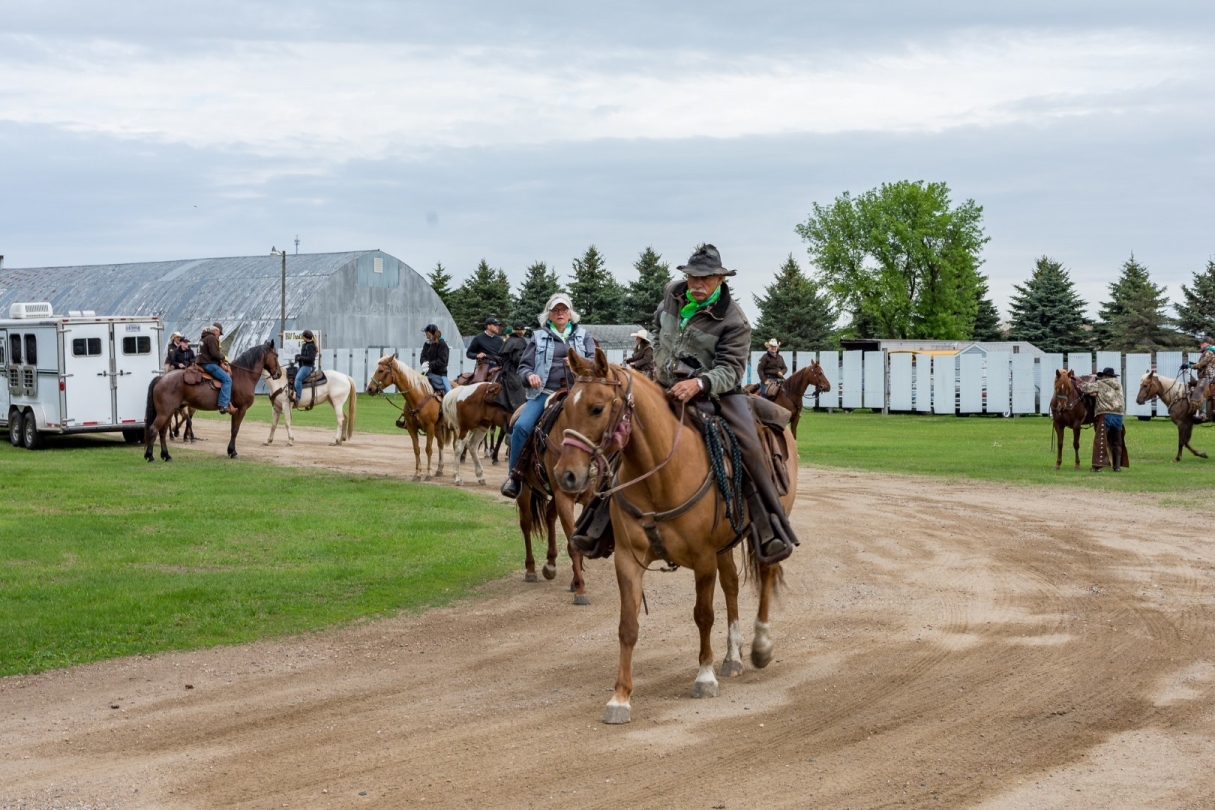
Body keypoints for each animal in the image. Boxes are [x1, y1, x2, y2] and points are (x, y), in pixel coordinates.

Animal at [144, 340, 281, 461]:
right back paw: (150, 456)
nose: (279, 373)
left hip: (169, 412)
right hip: (164, 412)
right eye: (276, 355)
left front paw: (230, 451)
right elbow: (235, 430)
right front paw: (233, 452)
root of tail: (161, 379)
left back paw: (166, 455)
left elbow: (232, 430)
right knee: (153, 429)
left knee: (162, 432)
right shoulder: (241, 409)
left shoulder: (235, 411)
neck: (243, 375)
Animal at [553, 348, 799, 724]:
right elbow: (627, 626)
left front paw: (705, 677)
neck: (659, 474)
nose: (565, 475)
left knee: (767, 572)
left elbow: (703, 615)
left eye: (596, 408)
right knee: (731, 585)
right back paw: (733, 656)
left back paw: (760, 646)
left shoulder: (702, 558)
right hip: (724, 547)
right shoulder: (628, 558)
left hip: (768, 528)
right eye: (567, 406)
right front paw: (620, 698)